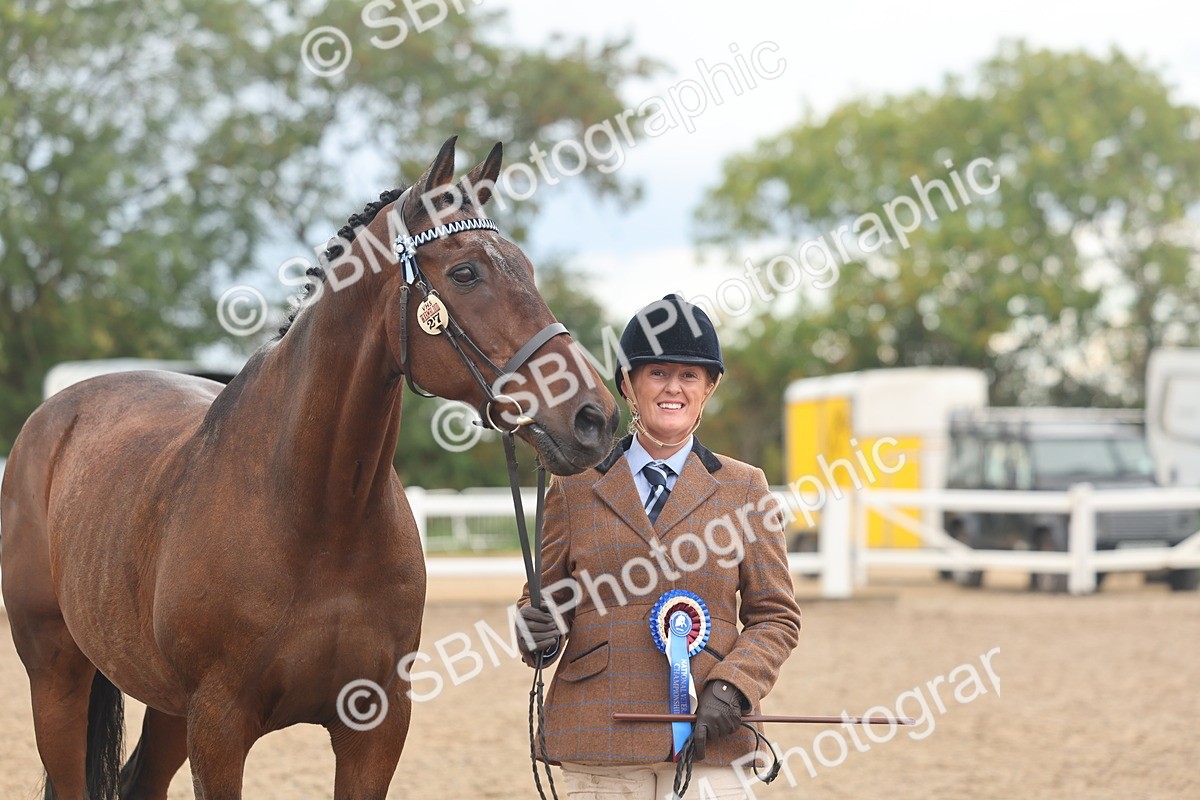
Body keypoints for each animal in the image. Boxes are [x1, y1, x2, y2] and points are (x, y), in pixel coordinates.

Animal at [0, 136, 620, 800]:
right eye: (465, 273)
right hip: (58, 678)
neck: (319, 515)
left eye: (526, 268)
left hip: (165, 705)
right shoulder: (218, 728)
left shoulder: (375, 725)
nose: (594, 417)